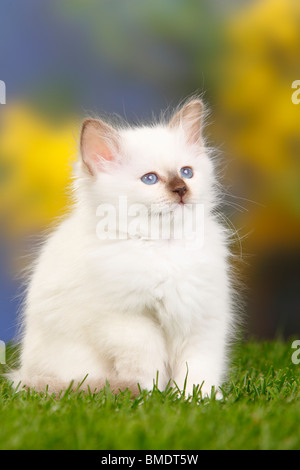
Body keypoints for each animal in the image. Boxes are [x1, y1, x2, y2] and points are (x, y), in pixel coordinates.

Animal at [8, 98, 234, 396]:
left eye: (187, 172)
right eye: (150, 179)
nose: (181, 189)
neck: (164, 246)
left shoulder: (201, 315)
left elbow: (198, 370)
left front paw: (198, 398)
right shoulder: (128, 321)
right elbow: (148, 366)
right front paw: (152, 396)